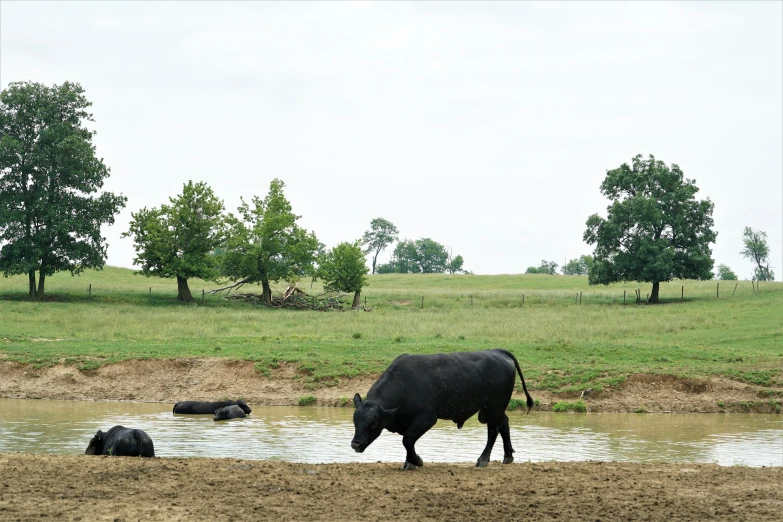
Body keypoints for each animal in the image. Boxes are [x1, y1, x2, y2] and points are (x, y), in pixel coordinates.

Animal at [354, 348, 532, 470]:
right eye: (355, 422)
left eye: (373, 424)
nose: (355, 444)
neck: (404, 384)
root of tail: (497, 351)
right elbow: (408, 440)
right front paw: (409, 462)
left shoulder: (427, 418)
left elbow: (407, 439)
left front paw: (415, 461)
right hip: (496, 409)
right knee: (504, 424)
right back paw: (508, 455)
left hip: (493, 408)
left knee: (493, 432)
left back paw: (483, 459)